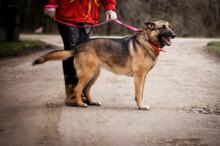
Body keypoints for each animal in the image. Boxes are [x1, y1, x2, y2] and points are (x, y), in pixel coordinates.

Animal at [32, 20, 175, 110]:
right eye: (162, 27)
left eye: (169, 26)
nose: (174, 35)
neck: (148, 41)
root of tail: (78, 46)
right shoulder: (139, 76)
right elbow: (138, 93)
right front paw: (140, 106)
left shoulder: (144, 77)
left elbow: (142, 92)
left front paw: (142, 104)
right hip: (88, 74)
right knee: (78, 89)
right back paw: (80, 104)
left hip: (94, 74)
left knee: (86, 90)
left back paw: (92, 102)